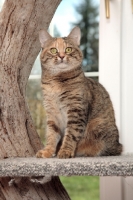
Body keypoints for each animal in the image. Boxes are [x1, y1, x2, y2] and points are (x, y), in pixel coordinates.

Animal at [35, 26, 122, 159]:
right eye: (54, 50)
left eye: (68, 49)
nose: (61, 56)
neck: (56, 82)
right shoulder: (52, 113)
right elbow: (51, 135)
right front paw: (47, 151)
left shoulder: (76, 110)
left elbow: (70, 135)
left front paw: (65, 151)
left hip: (98, 126)